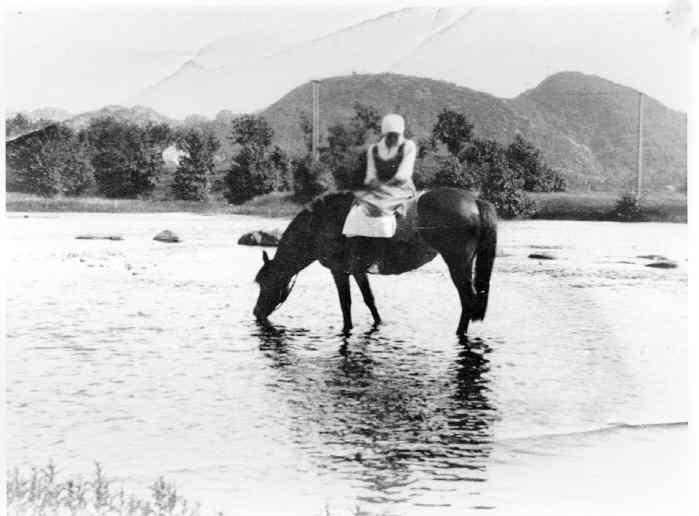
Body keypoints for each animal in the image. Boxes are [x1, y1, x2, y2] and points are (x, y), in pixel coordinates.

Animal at [252, 187, 498, 336]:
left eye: (265, 282)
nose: (256, 312)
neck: (325, 222)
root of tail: (474, 200)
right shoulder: (358, 270)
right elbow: (369, 300)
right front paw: (378, 324)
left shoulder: (339, 271)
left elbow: (346, 304)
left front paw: (347, 329)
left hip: (456, 264)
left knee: (468, 300)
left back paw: (459, 333)